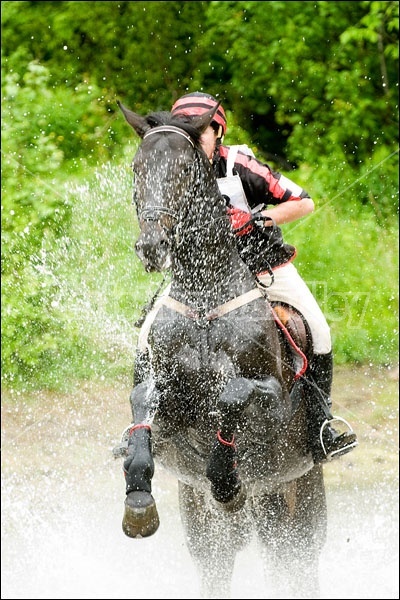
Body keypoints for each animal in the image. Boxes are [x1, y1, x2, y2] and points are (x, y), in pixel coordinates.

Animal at [116, 101, 328, 596]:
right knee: (219, 562)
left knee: (295, 563)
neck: (204, 301)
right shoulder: (168, 401)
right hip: (206, 513)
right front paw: (138, 503)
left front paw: (228, 480)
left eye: (183, 171)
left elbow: (233, 395)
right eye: (137, 167)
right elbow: (142, 407)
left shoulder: (273, 401)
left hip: (299, 494)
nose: (151, 246)